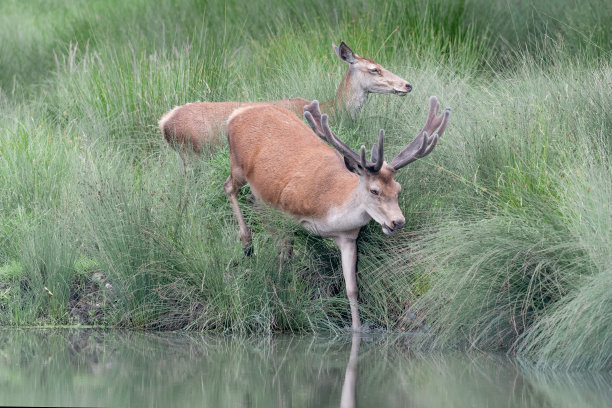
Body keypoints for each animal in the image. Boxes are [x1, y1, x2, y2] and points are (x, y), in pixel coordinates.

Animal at [224, 96, 450, 332]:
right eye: (374, 190)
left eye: (398, 189)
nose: (397, 221)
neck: (327, 212)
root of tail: (236, 114)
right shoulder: (285, 211)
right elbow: (284, 259)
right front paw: (279, 296)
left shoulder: (348, 237)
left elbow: (352, 288)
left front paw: (357, 328)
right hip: (238, 164)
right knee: (229, 187)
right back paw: (247, 243)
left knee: (250, 199)